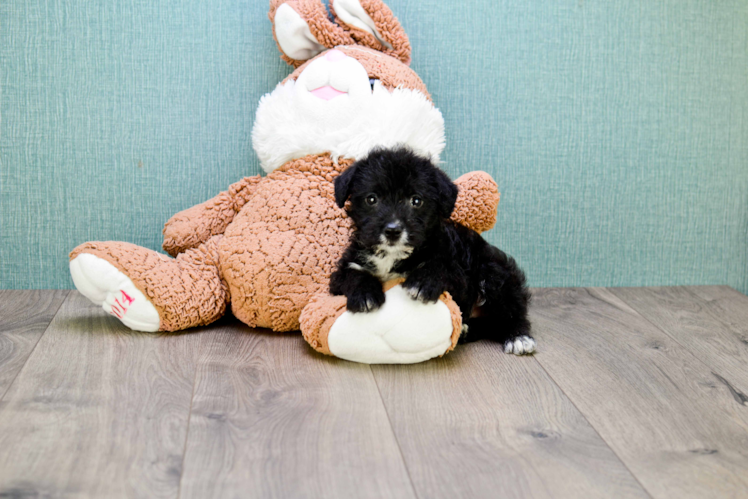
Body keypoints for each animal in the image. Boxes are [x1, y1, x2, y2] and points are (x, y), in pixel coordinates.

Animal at [330, 146, 536, 354]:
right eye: (371, 199)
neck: (393, 255)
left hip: (494, 273)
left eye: (416, 201)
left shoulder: (459, 277)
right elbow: (353, 274)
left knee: (511, 311)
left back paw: (518, 337)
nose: (393, 230)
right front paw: (364, 294)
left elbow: (441, 266)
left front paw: (423, 282)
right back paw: (466, 330)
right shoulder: (342, 271)